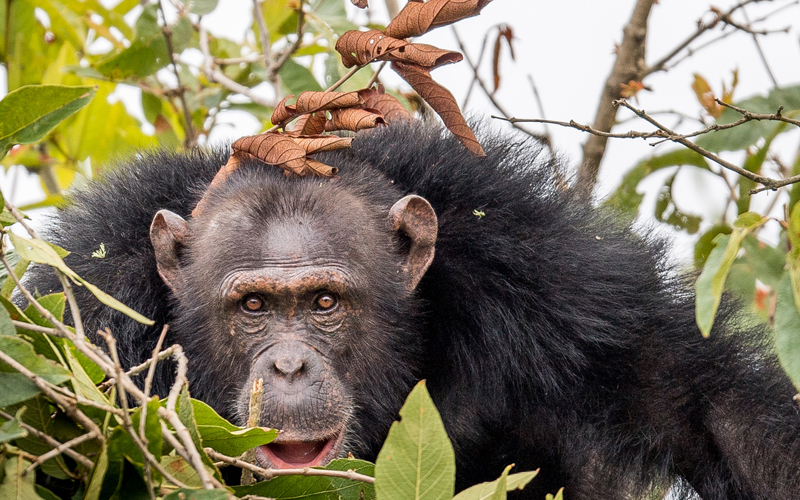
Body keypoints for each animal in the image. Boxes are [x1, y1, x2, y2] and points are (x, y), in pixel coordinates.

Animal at [25, 122, 800, 500]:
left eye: (325, 302)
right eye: (252, 305)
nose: (289, 364)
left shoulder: (556, 286)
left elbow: (702, 408)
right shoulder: (85, 308)